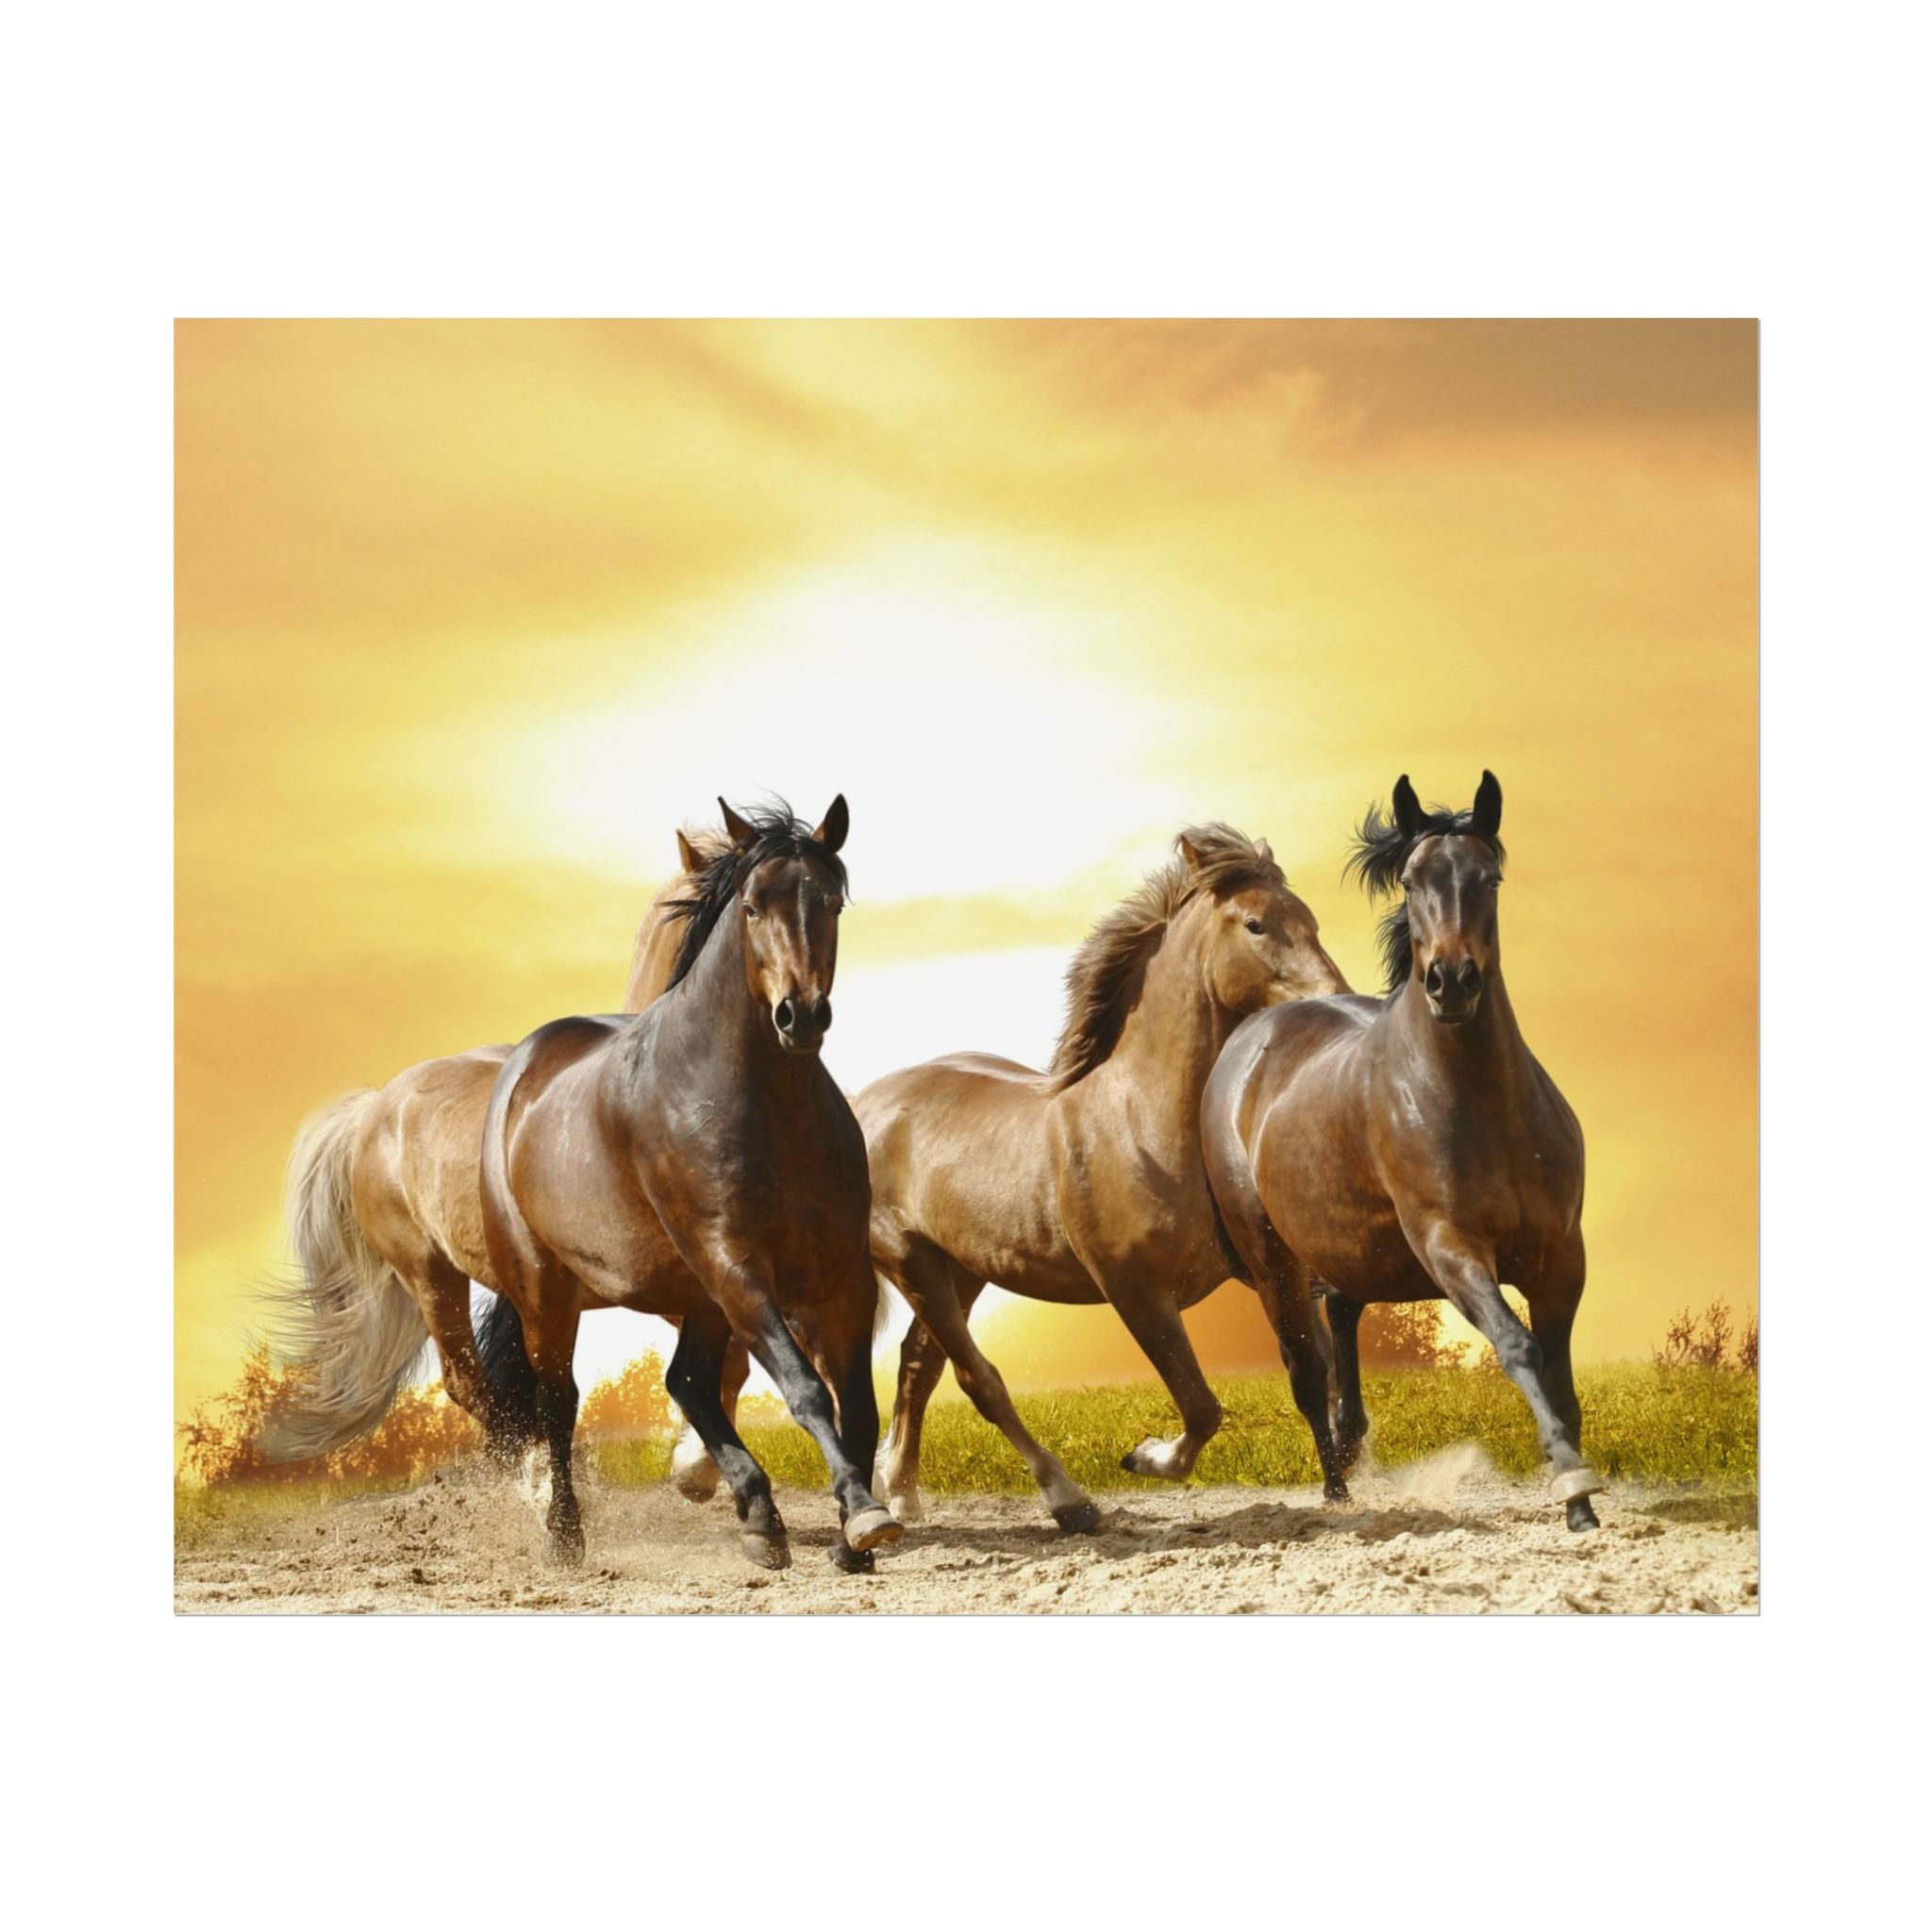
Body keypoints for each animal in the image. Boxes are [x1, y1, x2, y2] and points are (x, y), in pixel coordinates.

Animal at [476, 798, 901, 1568]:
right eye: (754, 906)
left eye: (831, 902)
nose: (801, 1015)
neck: (764, 1105)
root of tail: (521, 1069)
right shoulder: (736, 1263)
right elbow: (805, 1390)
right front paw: (863, 1515)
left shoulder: (840, 1274)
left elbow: (855, 1404)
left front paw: (854, 1537)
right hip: (549, 1293)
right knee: (561, 1402)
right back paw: (566, 1536)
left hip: (696, 1294)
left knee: (687, 1382)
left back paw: (759, 1517)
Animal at [845, 824, 1348, 1531]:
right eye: (1256, 924)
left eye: (1310, 919)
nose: (1334, 1000)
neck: (1142, 1121)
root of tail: (865, 1105)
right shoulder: (1134, 1290)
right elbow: (1201, 1407)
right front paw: (1144, 1457)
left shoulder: (1274, 1270)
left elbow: (1312, 1373)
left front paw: (1344, 1489)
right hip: (912, 1263)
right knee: (978, 1379)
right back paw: (1069, 1500)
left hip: (962, 1270)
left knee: (919, 1367)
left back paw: (902, 1493)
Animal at [1201, 772, 1605, 1530]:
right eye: (1414, 881)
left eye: (1489, 877)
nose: (1451, 981)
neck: (1482, 1105)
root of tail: (1251, 1036)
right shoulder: (1450, 1246)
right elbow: (1519, 1347)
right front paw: (1573, 1484)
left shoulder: (1562, 1256)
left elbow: (1561, 1377)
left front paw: (1581, 1501)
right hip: (1272, 1260)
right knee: (1306, 1372)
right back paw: (1337, 1493)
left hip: (1349, 1247)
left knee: (1341, 1319)